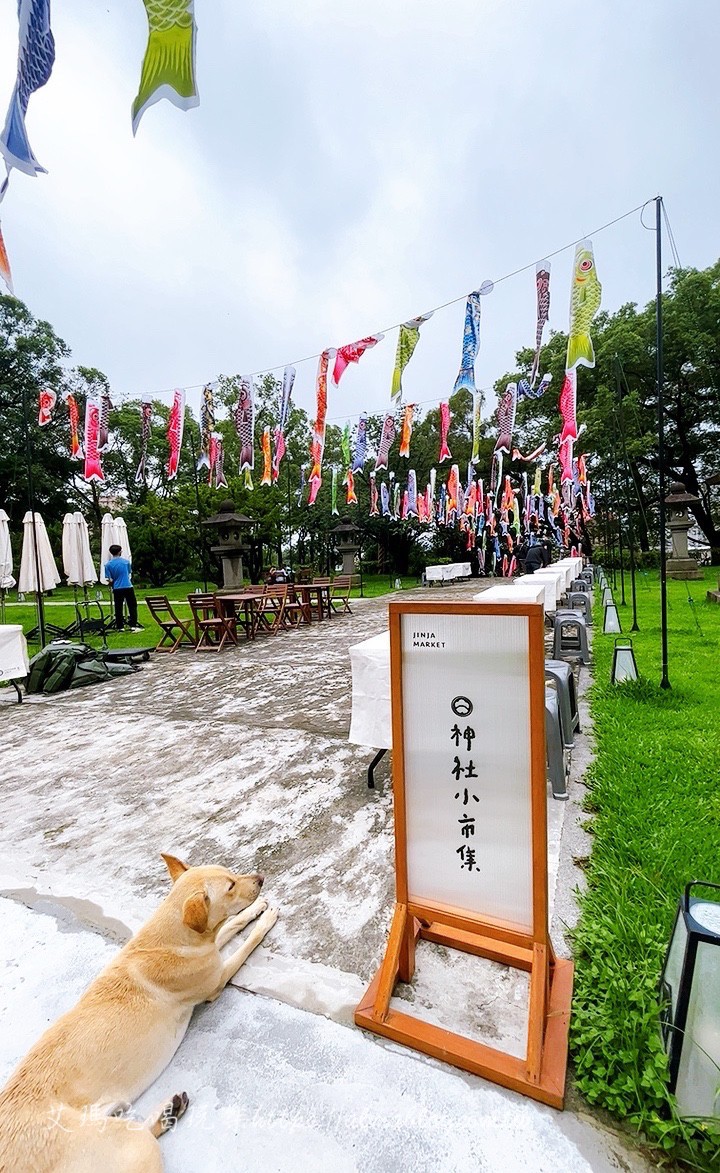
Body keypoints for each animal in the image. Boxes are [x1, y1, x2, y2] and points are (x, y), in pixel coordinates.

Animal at [0, 853, 279, 1173]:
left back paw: (168, 1112)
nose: (260, 878)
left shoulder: (211, 950)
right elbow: (245, 945)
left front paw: (257, 909)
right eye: (230, 886)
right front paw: (264, 921)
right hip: (133, 1145)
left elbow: (233, 924)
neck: (171, 935)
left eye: (232, 873)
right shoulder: (216, 978)